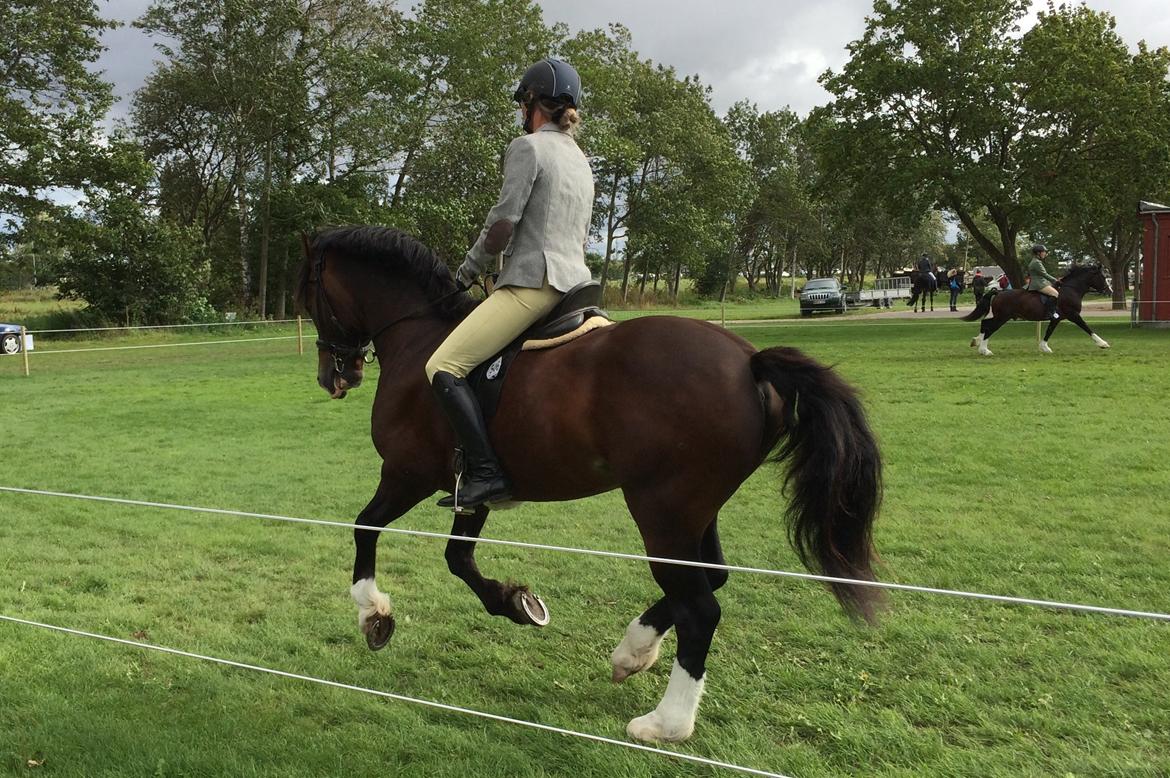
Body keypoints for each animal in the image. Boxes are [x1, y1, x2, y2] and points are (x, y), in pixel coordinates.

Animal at [297, 224, 879, 739]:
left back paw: (665, 724)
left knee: (700, 608)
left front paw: (373, 614)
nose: (333, 376)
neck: (419, 337)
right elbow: (458, 558)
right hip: (696, 510)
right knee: (711, 577)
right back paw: (632, 653)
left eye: (308, 291)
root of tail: (749, 361)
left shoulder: (405, 474)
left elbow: (366, 528)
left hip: (662, 510)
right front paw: (516, 603)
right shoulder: (471, 486)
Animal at [959, 264, 1113, 355]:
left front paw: (1044, 347)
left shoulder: (1057, 318)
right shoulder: (1073, 315)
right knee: (989, 328)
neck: (1070, 290)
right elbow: (1086, 327)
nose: (1109, 291)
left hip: (1001, 317)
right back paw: (984, 350)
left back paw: (976, 342)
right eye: (1103, 277)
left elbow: (1049, 331)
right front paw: (1103, 343)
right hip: (1002, 317)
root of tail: (998, 292)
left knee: (985, 324)